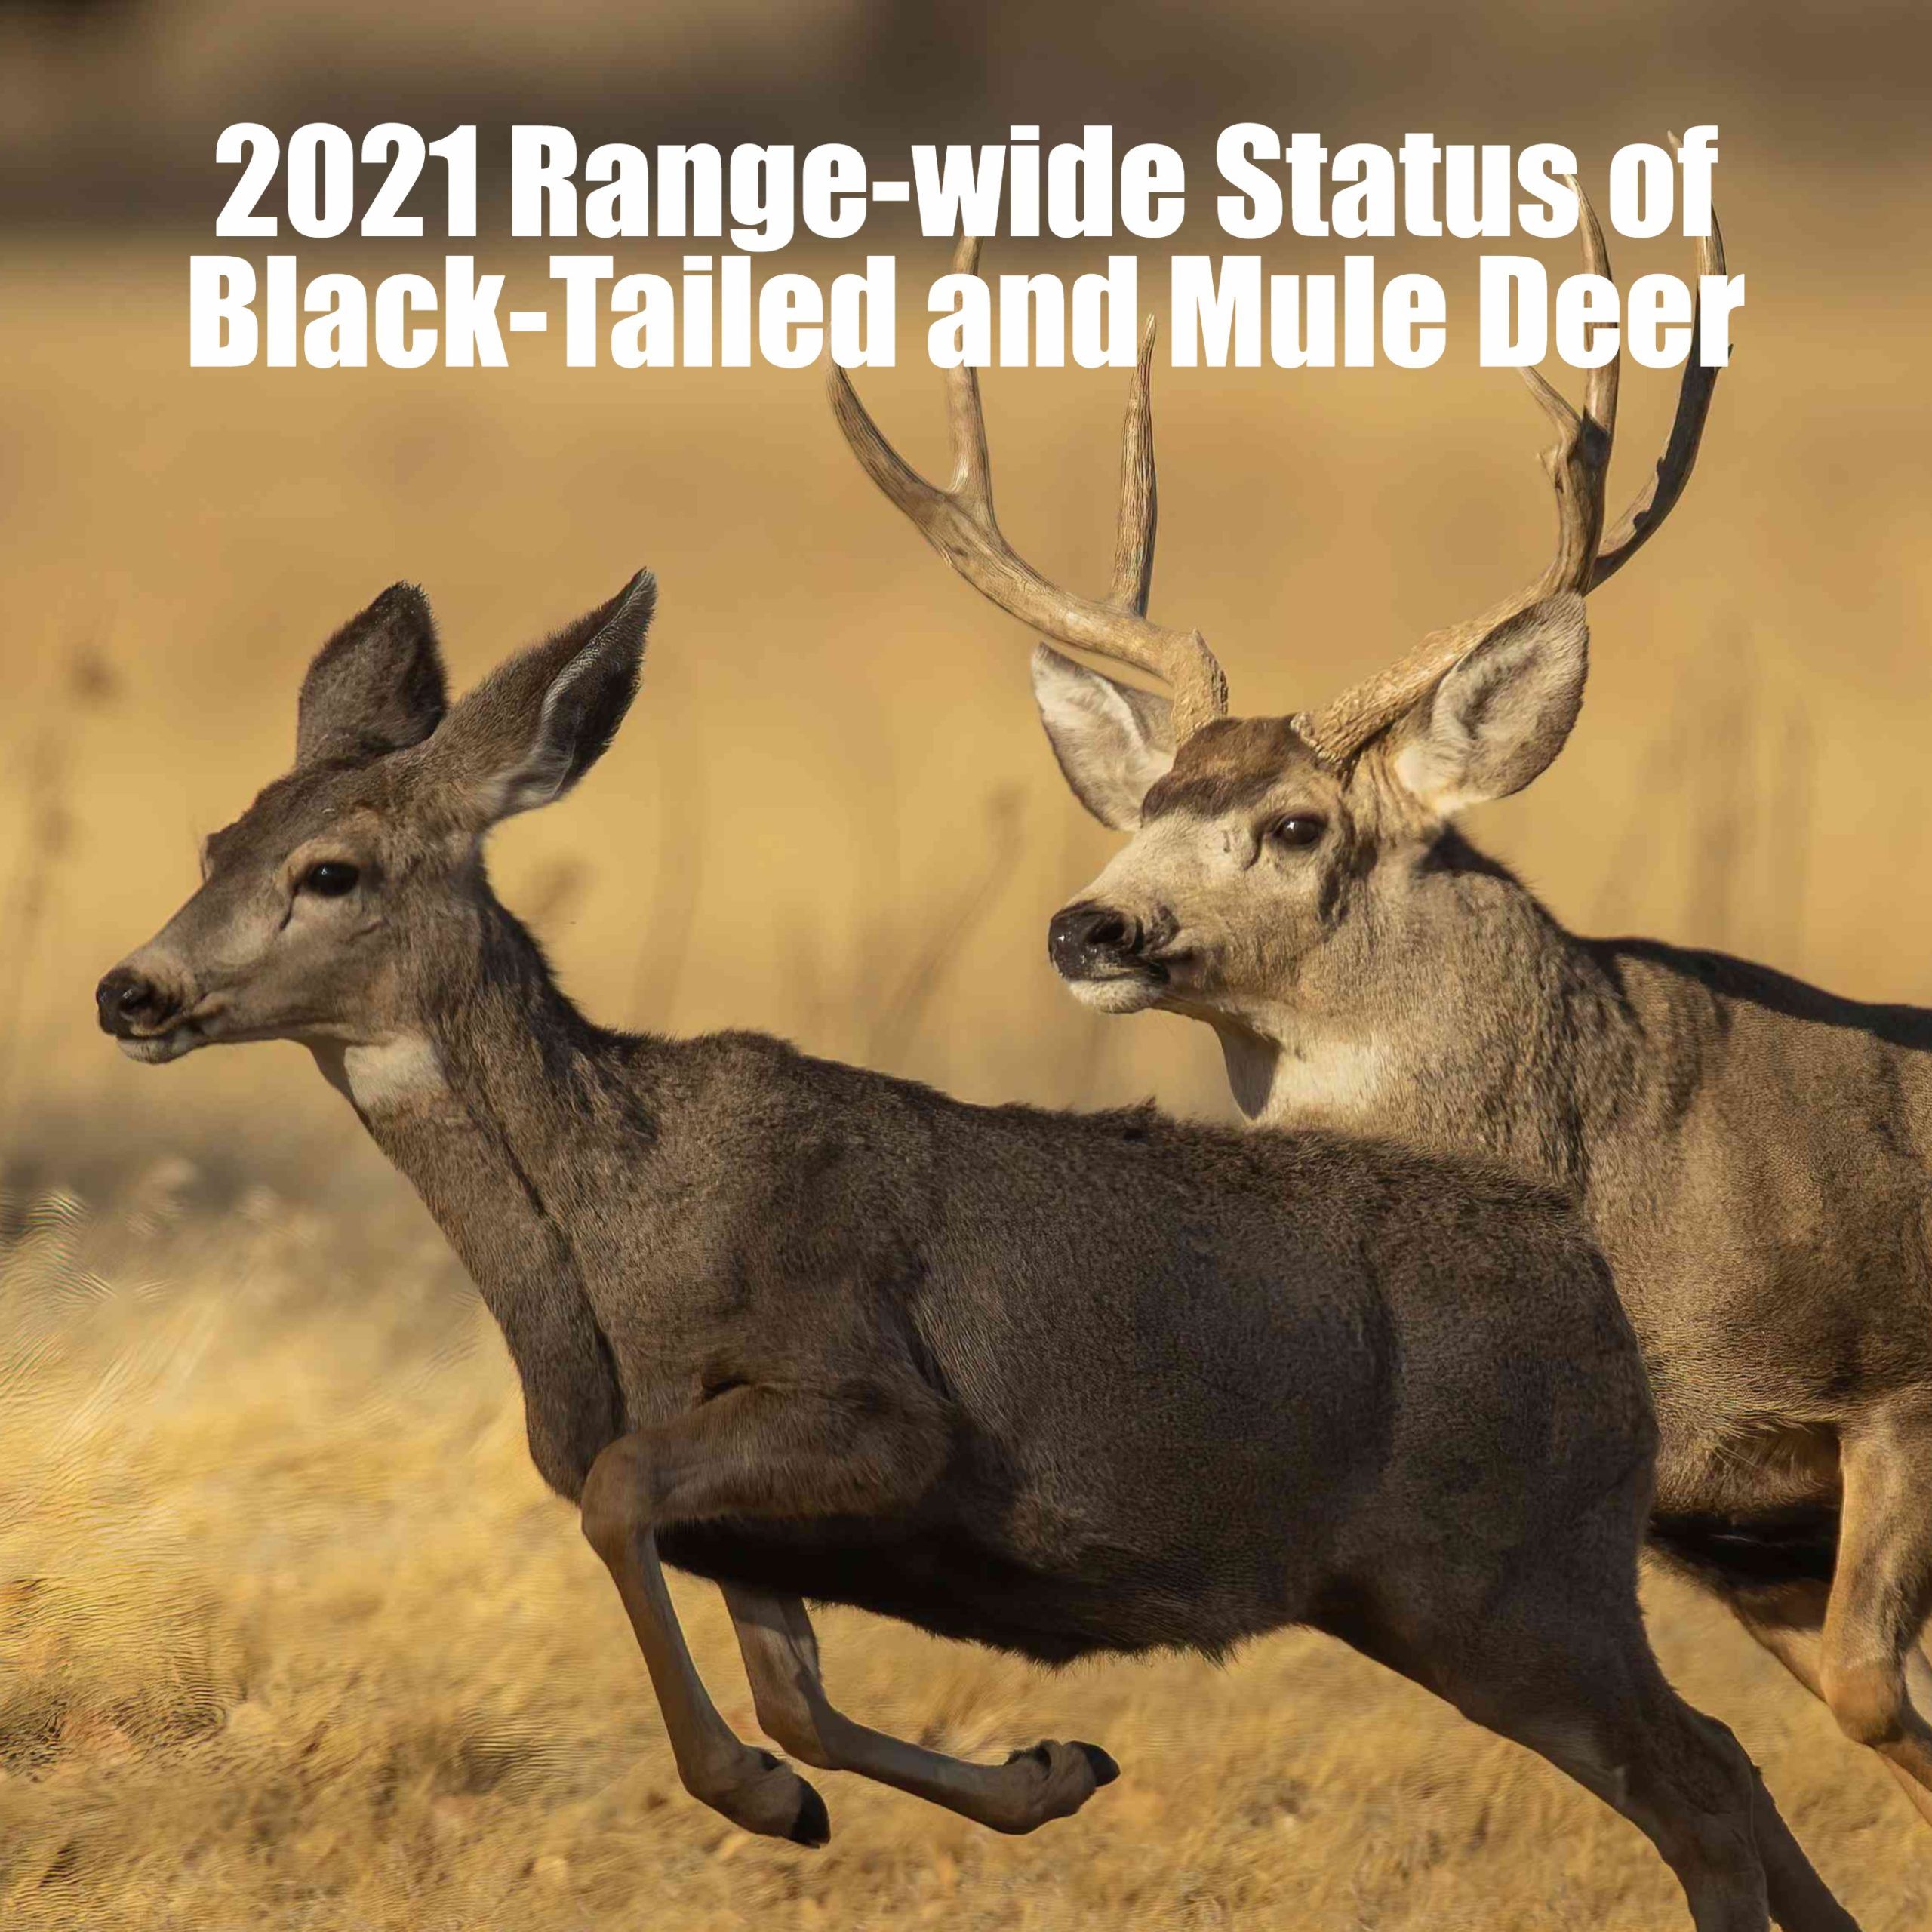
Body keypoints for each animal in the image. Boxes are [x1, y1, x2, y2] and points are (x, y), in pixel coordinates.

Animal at [92, 573, 1855, 1931]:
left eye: (331, 869)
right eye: (212, 841)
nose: (133, 989)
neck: (613, 1226)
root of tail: (1588, 1279)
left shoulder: (872, 1406)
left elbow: (624, 1509)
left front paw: (766, 1798)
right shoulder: (748, 1516)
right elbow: (784, 1673)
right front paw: (1032, 1773)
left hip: (1509, 1571)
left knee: (1704, 1783)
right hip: (1469, 1589)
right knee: (1728, 1763)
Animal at [833, 181, 1932, 1834]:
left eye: (1295, 824)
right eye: (1145, 803)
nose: (1086, 924)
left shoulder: (1895, 1375)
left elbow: (1875, 1692)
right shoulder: (1721, 1530)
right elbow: (1866, 1703)